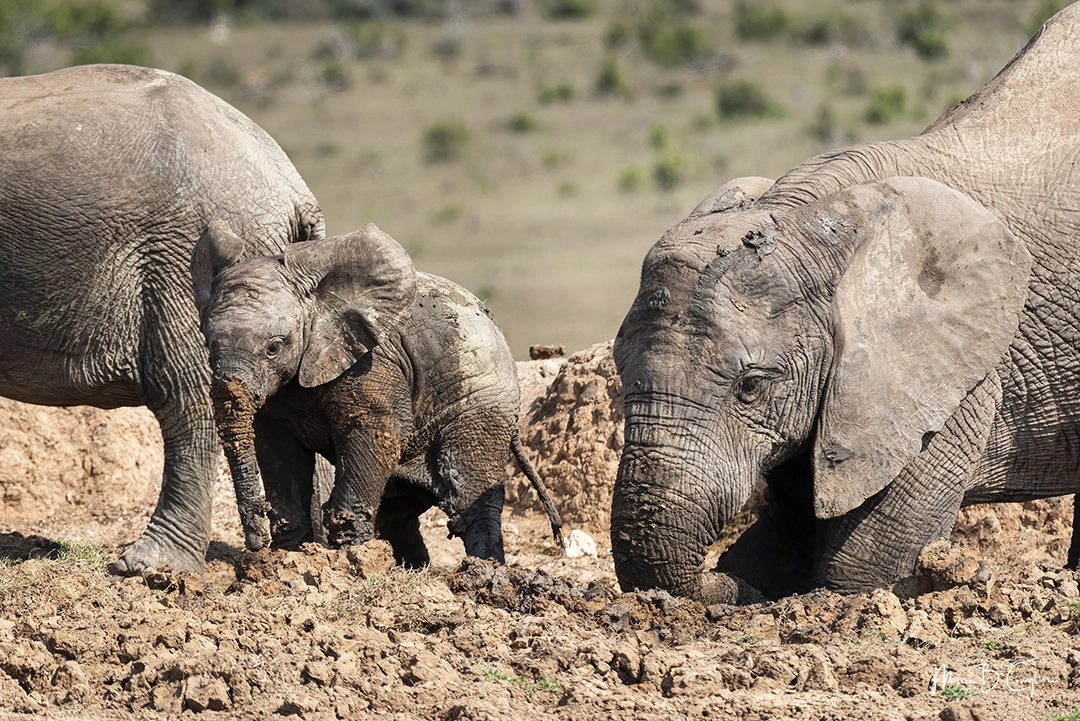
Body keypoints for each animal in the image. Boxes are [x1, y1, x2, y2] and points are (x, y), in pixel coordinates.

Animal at [0, 64, 324, 574]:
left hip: (182, 259)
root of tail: (291, 184)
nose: (259, 541)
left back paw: (149, 565)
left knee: (188, 397)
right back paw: (309, 552)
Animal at [194, 222, 563, 566]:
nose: (255, 543)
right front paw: (290, 558)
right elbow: (278, 452)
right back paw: (412, 570)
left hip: (482, 407)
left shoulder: (372, 362)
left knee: (469, 501)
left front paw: (347, 561)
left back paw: (482, 571)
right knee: (398, 512)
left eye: (274, 347)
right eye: (208, 344)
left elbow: (373, 436)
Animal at [610, 5, 1080, 601]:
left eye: (750, 387)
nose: (722, 581)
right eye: (620, 373)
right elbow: (789, 531)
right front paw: (760, 577)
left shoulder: (955, 375)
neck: (810, 213)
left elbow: (861, 564)